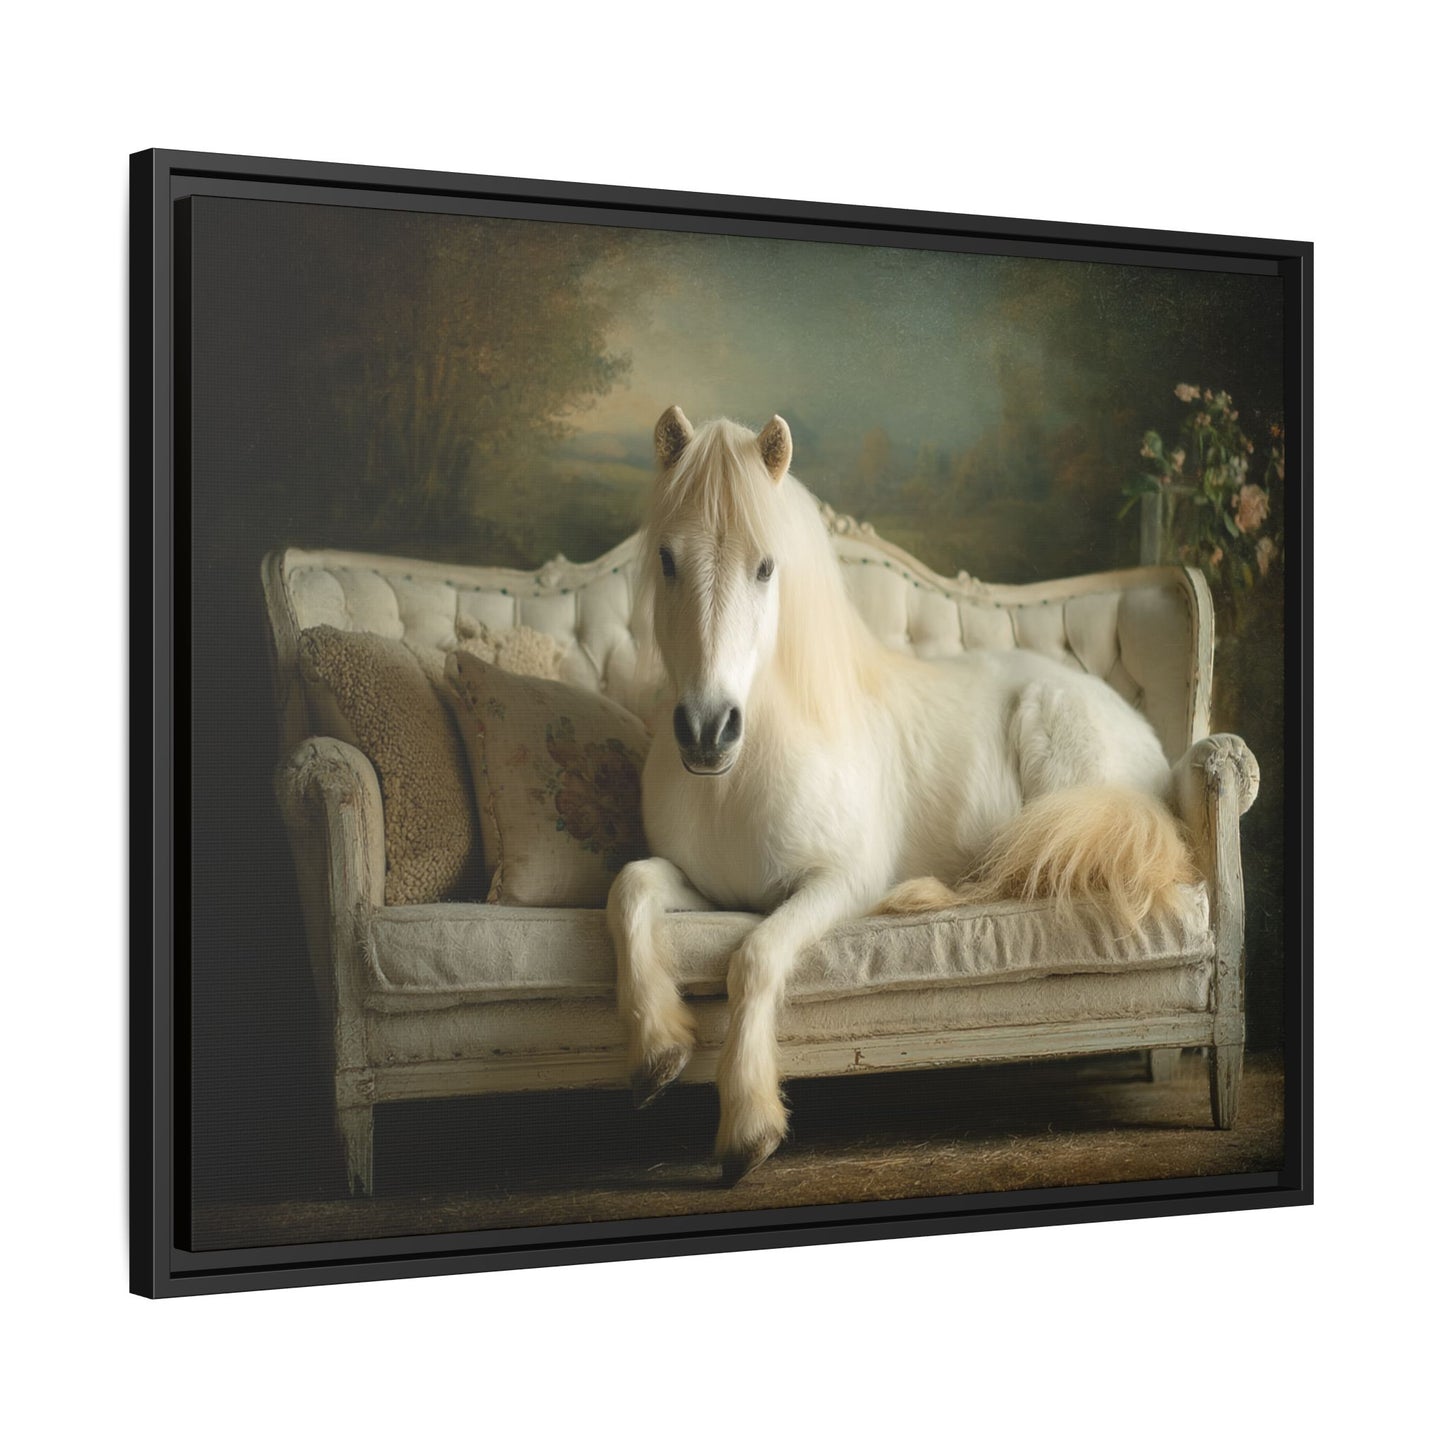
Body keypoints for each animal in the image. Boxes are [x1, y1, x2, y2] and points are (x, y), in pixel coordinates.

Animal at [607, 406, 1195, 1185]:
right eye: (668, 559)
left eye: (765, 566)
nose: (707, 730)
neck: (737, 778)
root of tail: (1140, 731)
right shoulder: (712, 888)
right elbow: (630, 887)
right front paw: (657, 1046)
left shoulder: (838, 882)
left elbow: (754, 957)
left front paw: (748, 1125)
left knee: (1034, 872)